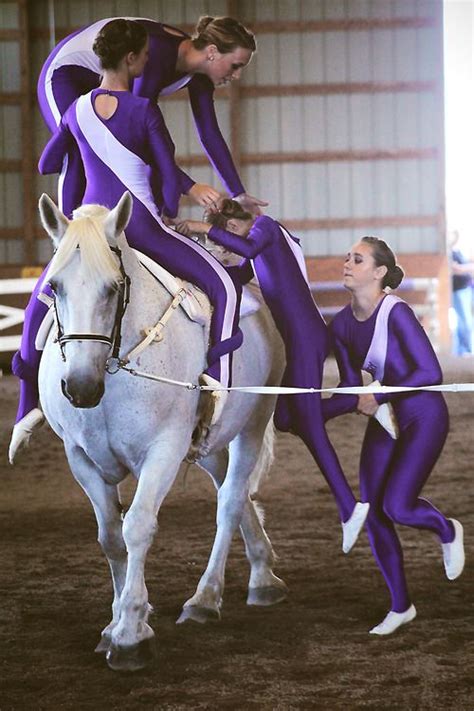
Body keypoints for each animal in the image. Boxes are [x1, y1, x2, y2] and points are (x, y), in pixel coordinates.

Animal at [36, 192, 286, 672]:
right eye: (53, 287)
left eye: (113, 287)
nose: (79, 388)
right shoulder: (80, 458)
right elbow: (110, 537)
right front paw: (113, 623)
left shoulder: (163, 451)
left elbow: (136, 527)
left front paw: (131, 635)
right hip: (208, 443)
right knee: (233, 490)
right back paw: (263, 575)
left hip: (253, 420)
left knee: (230, 501)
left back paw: (205, 599)